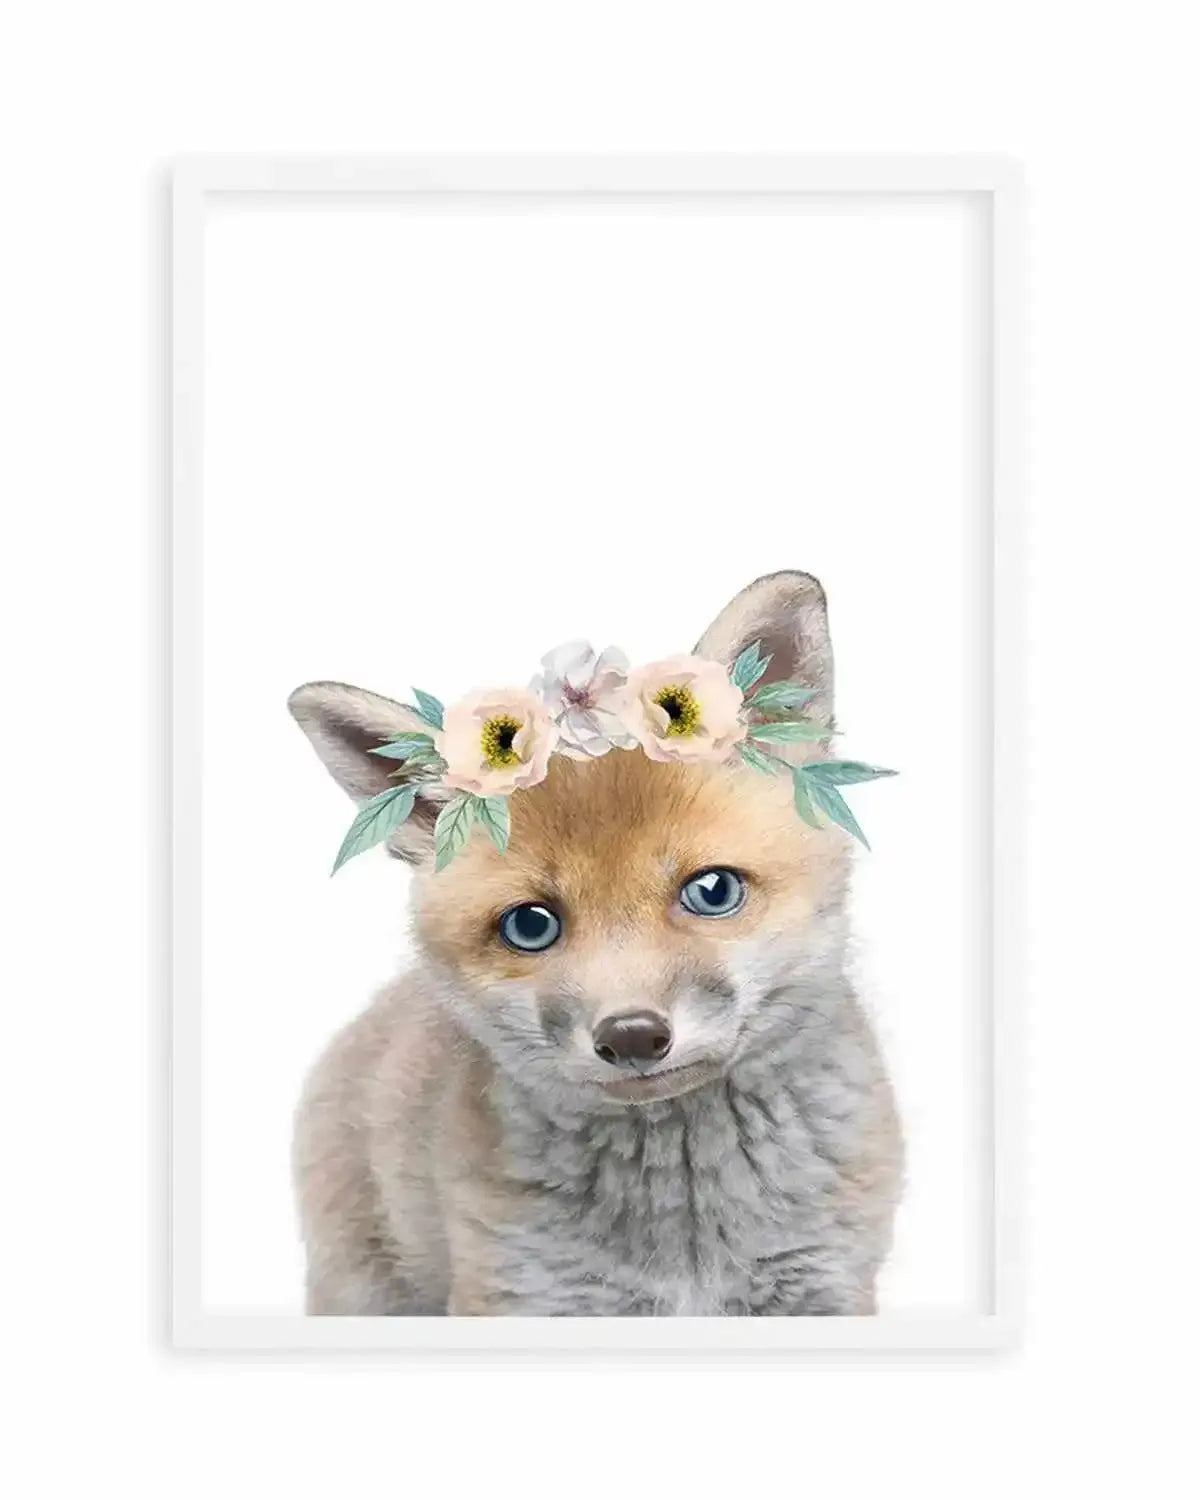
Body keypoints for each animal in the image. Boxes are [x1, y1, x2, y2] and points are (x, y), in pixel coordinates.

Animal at [287, 570, 903, 1316]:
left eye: (713, 891)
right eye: (530, 925)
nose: (633, 1036)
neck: (686, 1235)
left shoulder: (824, 1285)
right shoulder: (525, 1293)